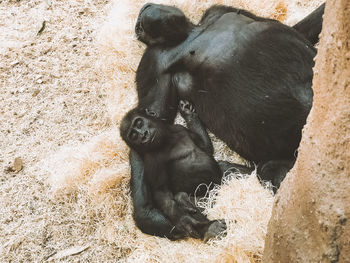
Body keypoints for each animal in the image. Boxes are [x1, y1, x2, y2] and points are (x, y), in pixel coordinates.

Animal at [121, 100, 250, 241]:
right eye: (134, 136)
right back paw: (207, 227)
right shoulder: (152, 158)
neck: (167, 139)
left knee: (231, 171)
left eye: (139, 123)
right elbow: (161, 191)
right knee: (182, 198)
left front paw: (188, 114)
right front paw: (183, 220)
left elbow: (206, 147)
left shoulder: (180, 129)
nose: (143, 135)